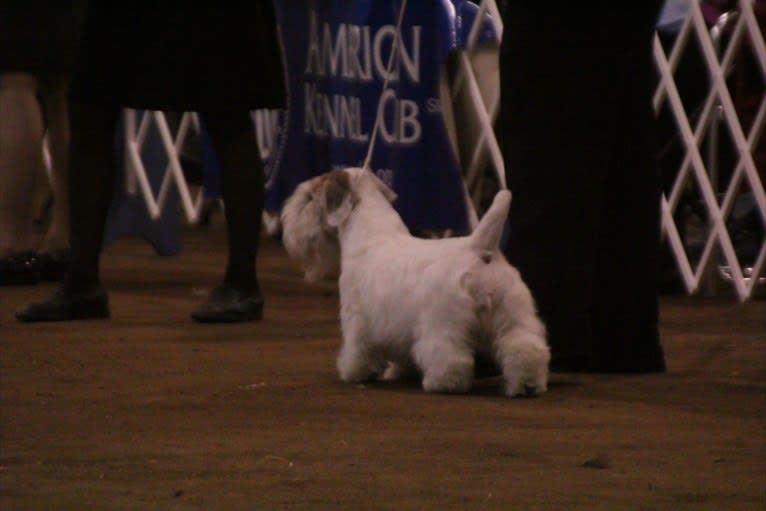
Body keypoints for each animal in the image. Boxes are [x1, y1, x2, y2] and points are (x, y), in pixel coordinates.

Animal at [282, 168, 552, 400]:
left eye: (309, 197)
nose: (287, 224)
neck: (368, 235)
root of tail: (482, 250)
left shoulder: (356, 317)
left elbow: (357, 348)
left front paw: (354, 372)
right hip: (513, 316)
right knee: (526, 349)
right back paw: (527, 385)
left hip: (444, 323)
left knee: (451, 356)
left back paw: (443, 383)